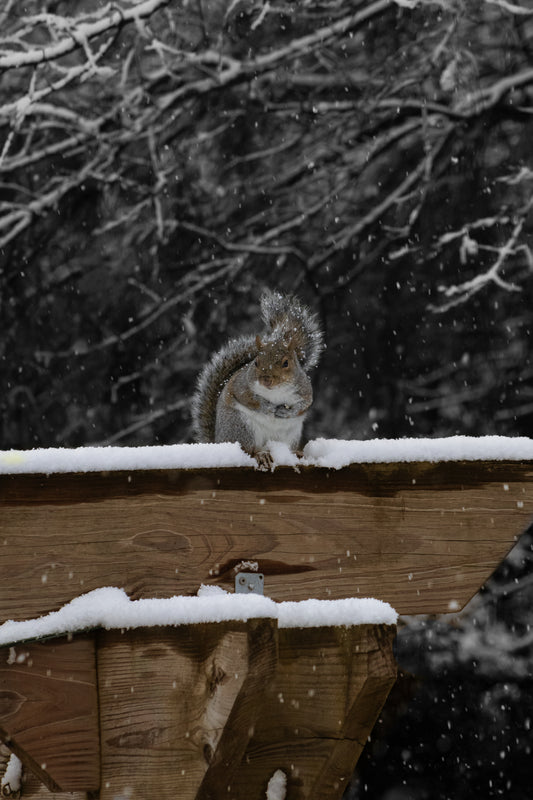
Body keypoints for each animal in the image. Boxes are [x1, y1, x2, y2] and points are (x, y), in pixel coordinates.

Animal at [192, 290, 324, 469]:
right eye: (256, 362)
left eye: (286, 363)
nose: (266, 380)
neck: (276, 391)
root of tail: (219, 441)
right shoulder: (241, 385)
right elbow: (248, 398)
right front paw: (267, 407)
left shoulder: (304, 389)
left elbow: (305, 404)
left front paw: (287, 411)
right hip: (241, 427)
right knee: (248, 451)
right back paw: (262, 455)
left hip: (290, 435)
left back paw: (294, 453)